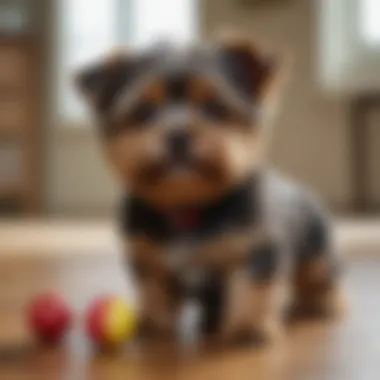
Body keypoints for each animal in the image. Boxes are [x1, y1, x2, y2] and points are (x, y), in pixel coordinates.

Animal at [75, 36, 342, 348]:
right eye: (144, 111)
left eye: (214, 107)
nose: (177, 134)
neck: (187, 204)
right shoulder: (148, 256)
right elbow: (154, 290)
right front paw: (155, 324)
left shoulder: (256, 249)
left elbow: (253, 289)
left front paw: (248, 327)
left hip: (316, 250)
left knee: (322, 276)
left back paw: (326, 304)